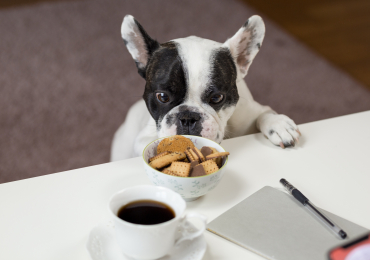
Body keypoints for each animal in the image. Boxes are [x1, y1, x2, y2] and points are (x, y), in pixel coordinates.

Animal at [110, 14, 300, 161]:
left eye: (216, 98)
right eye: (162, 97)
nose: (188, 117)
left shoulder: (251, 112)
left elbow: (265, 113)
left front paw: (279, 125)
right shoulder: (142, 138)